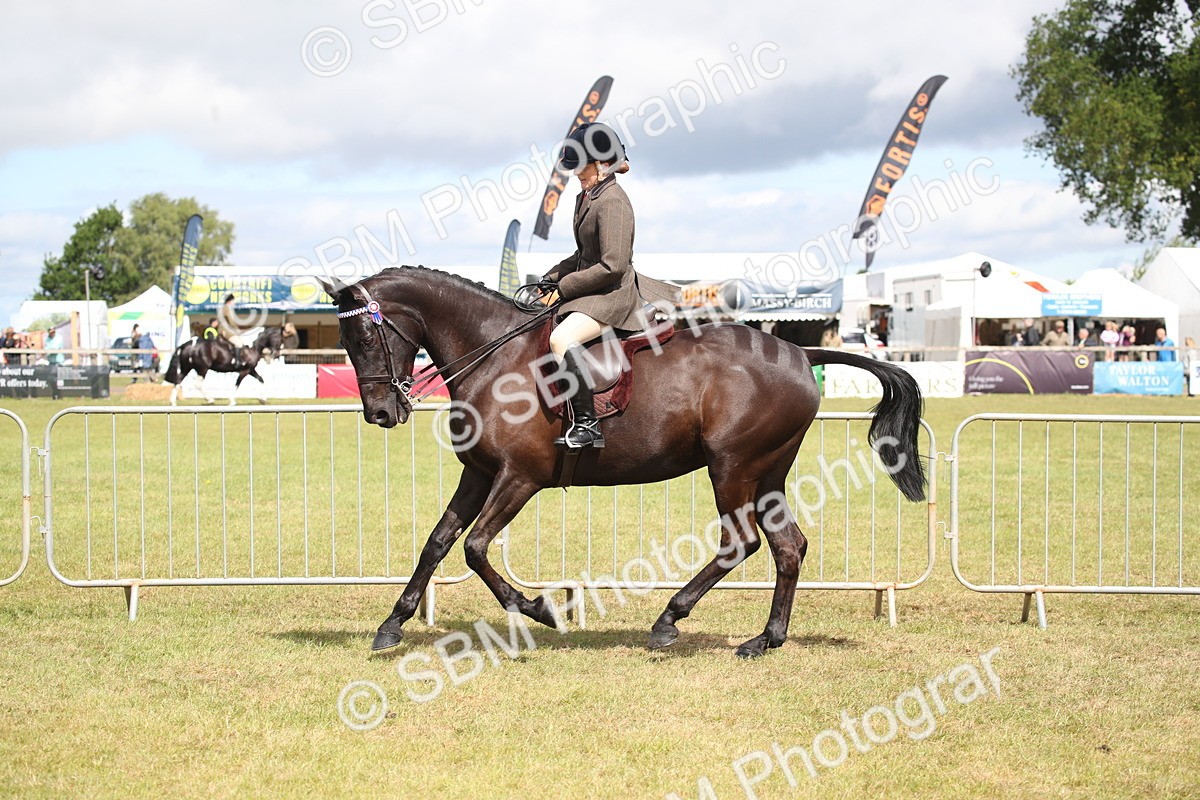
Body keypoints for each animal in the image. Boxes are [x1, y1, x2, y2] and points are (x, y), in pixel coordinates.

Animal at [164, 324, 298, 406]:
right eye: (280, 339)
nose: (277, 355)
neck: (253, 347)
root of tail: (188, 344)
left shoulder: (250, 369)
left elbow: (261, 379)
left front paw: (263, 399)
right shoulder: (244, 371)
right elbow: (237, 384)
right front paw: (232, 401)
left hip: (186, 367)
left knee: (177, 381)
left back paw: (172, 402)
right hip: (202, 368)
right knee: (197, 383)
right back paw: (210, 399)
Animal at [320, 267, 926, 658]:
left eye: (364, 336)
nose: (380, 412)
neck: (496, 356)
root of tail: (801, 351)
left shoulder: (519, 478)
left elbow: (475, 548)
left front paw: (538, 609)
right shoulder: (480, 473)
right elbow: (439, 542)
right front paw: (392, 624)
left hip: (731, 467)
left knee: (741, 542)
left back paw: (668, 620)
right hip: (767, 473)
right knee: (787, 546)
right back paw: (765, 640)